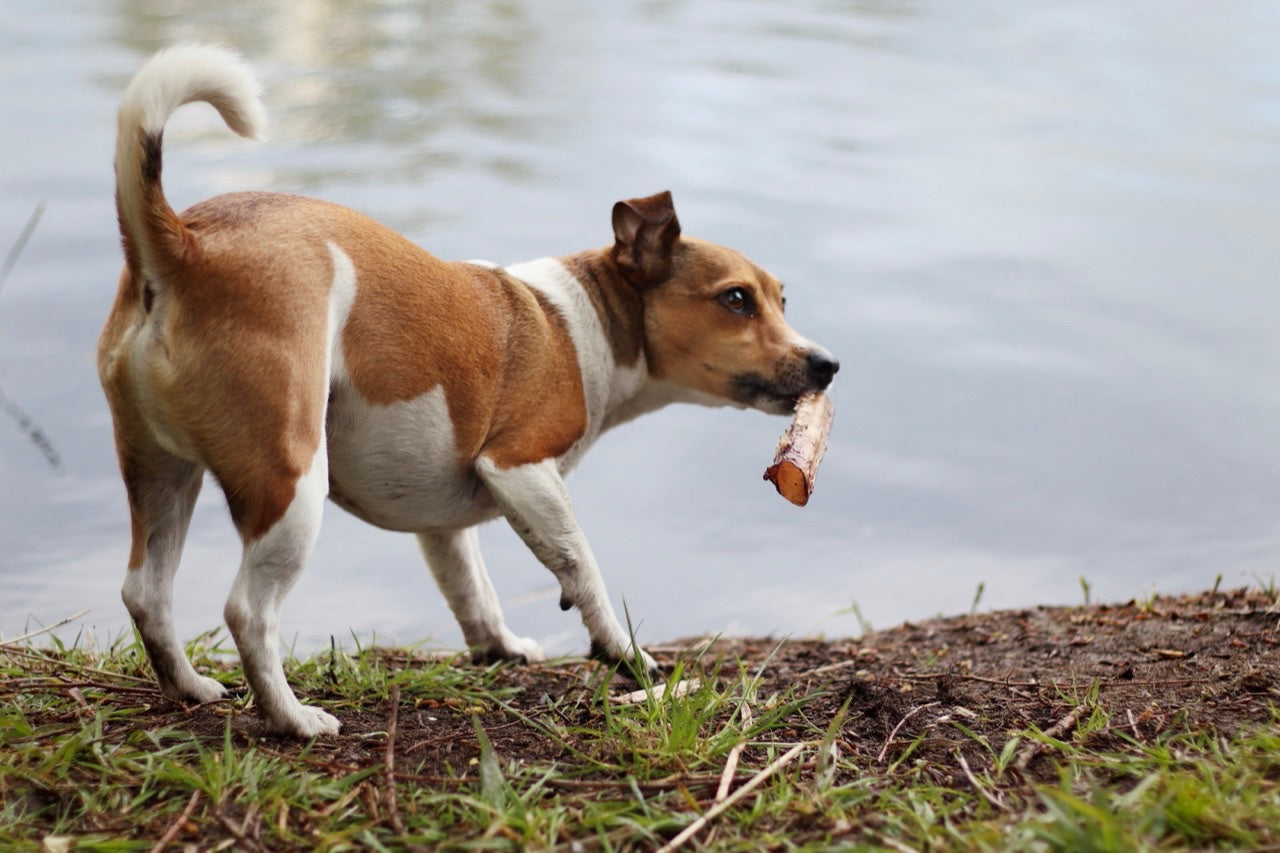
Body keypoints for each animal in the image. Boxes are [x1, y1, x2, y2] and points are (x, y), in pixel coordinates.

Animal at [99, 46, 839, 732]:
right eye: (736, 300)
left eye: (781, 298)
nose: (828, 364)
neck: (582, 320)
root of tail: (186, 247)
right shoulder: (521, 469)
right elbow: (582, 565)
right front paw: (625, 653)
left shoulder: (444, 523)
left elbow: (471, 590)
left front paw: (500, 647)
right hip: (293, 482)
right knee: (247, 611)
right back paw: (293, 718)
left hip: (161, 473)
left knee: (145, 592)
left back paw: (190, 687)